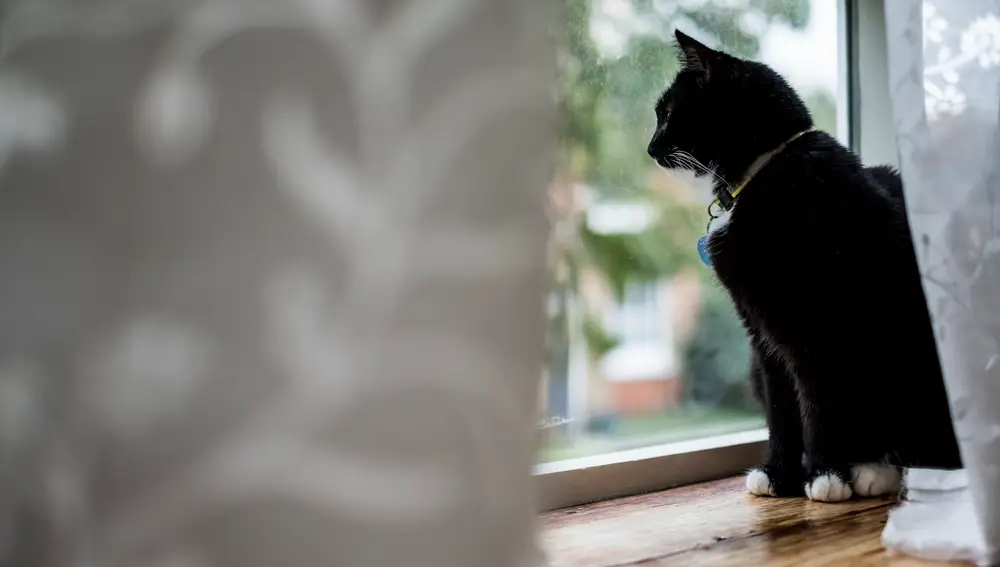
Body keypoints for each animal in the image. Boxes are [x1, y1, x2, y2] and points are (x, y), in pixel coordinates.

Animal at [648, 31, 960, 502]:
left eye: (668, 114)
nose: (650, 148)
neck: (762, 172)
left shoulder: (817, 326)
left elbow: (817, 399)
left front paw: (826, 475)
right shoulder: (762, 332)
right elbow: (782, 407)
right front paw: (778, 473)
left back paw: (879, 470)